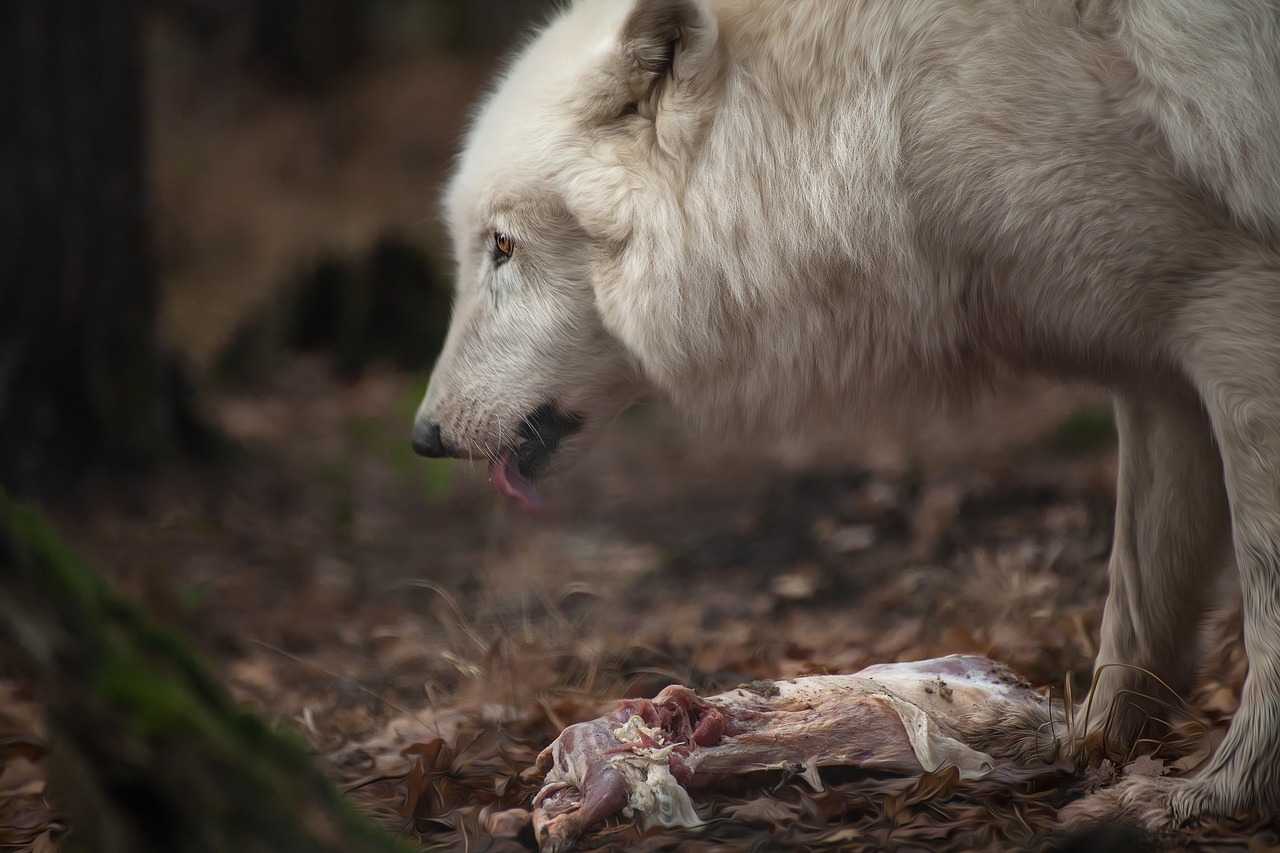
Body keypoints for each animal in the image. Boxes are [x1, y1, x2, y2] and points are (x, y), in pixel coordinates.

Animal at [412, 0, 1280, 824]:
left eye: (502, 246)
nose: (423, 436)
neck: (888, 106)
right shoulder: (1157, 369)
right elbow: (1138, 599)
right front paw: (1092, 745)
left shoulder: (1234, 310)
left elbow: (1263, 599)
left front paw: (1220, 790)